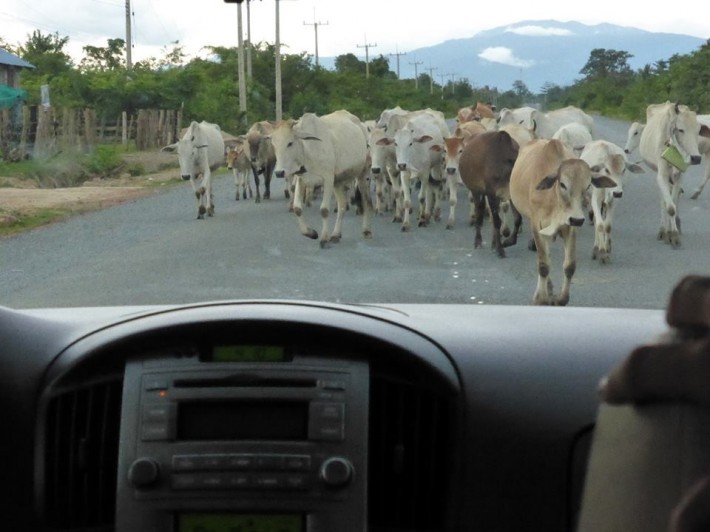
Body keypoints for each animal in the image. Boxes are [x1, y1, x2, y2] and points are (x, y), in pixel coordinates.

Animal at [272, 111, 372, 248]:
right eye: (274, 144)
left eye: (290, 143)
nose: (279, 172)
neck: (309, 149)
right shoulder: (301, 179)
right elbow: (297, 209)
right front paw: (311, 233)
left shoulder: (328, 179)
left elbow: (324, 210)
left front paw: (324, 238)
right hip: (338, 181)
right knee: (342, 205)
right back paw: (335, 234)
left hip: (362, 174)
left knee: (365, 201)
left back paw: (366, 230)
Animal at [512, 139, 616, 306]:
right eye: (562, 184)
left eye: (588, 185)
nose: (577, 219)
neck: (554, 201)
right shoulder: (536, 226)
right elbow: (543, 264)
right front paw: (541, 298)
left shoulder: (570, 228)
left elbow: (569, 266)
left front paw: (561, 299)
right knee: (545, 259)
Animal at [640, 102, 708, 247]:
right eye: (681, 130)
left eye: (698, 131)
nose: (696, 158)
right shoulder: (661, 175)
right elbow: (670, 207)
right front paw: (669, 234)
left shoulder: (679, 176)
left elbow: (674, 205)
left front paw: (673, 233)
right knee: (663, 200)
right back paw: (662, 230)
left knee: (674, 198)